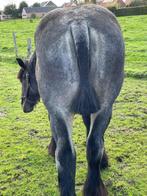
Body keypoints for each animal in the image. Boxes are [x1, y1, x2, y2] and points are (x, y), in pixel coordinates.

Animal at [16, 4, 124, 196]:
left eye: (23, 78)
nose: (24, 104)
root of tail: (78, 24)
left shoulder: (53, 112)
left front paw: (51, 148)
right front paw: (104, 162)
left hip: (61, 112)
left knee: (65, 153)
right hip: (105, 108)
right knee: (94, 145)